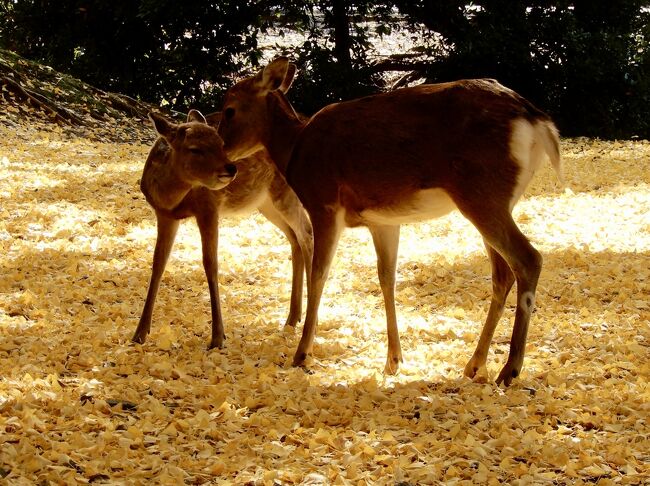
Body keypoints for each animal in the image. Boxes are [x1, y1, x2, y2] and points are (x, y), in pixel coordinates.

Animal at [132, 109, 312, 350]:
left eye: (221, 143)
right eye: (195, 149)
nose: (231, 167)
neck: (172, 199)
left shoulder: (209, 207)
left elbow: (210, 264)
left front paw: (218, 336)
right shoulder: (165, 215)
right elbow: (158, 263)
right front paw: (140, 333)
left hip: (287, 194)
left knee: (307, 234)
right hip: (265, 203)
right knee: (295, 239)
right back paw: (292, 319)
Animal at [218, 57, 560, 386]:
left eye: (229, 109)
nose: (225, 159)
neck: (295, 150)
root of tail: (538, 123)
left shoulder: (324, 203)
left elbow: (320, 275)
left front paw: (301, 354)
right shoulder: (383, 221)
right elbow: (387, 278)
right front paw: (394, 360)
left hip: (482, 194)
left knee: (528, 258)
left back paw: (510, 369)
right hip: (497, 201)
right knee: (502, 273)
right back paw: (474, 365)